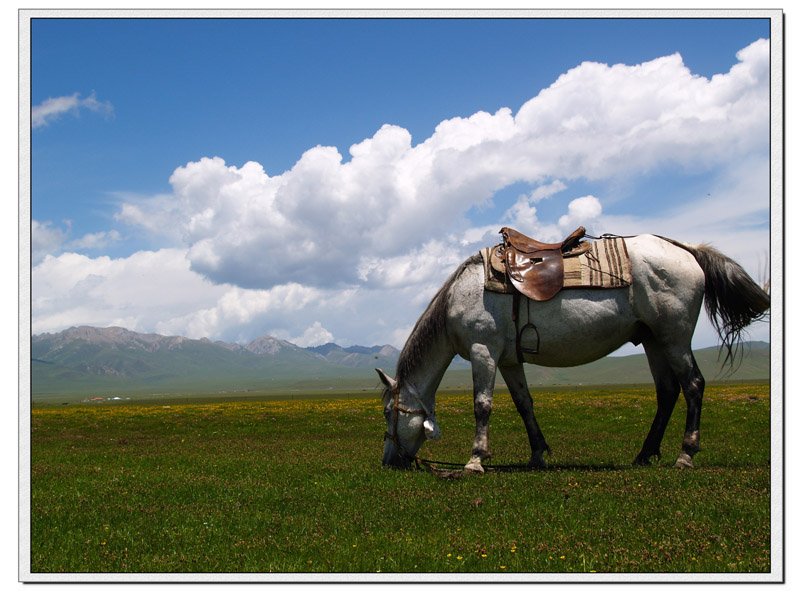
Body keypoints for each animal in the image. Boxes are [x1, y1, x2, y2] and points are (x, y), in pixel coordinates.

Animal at [380, 234, 768, 474]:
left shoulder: (483, 350)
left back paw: (685, 455)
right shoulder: (509, 359)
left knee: (693, 385)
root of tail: (686, 249)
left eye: (388, 413)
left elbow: (482, 405)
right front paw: (537, 454)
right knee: (668, 391)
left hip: (674, 338)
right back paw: (644, 454)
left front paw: (475, 460)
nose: (388, 461)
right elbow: (524, 404)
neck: (460, 296)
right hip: (654, 340)